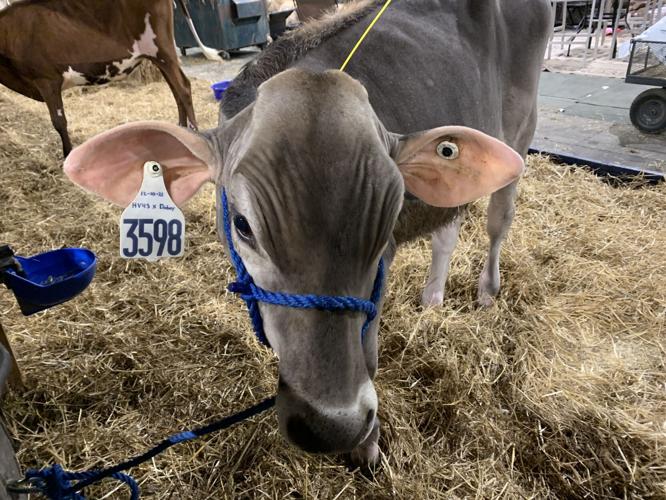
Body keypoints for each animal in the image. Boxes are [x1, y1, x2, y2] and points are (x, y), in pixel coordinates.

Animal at [0, 0, 220, 158]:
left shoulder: (46, 79)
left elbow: (59, 121)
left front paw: (67, 154)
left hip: (162, 49)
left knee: (183, 88)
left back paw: (194, 137)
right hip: (158, 56)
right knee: (176, 90)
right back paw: (179, 131)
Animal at [63, 0, 552, 468]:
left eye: (387, 221)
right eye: (243, 225)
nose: (332, 427)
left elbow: (368, 354)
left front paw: (366, 448)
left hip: (522, 128)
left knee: (498, 219)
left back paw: (487, 290)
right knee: (447, 230)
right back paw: (432, 298)